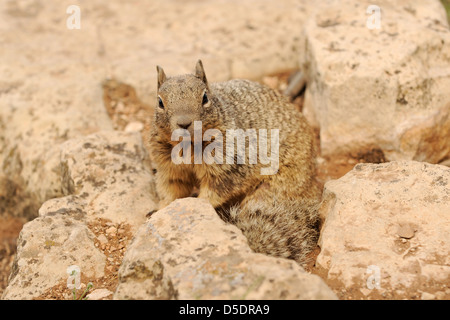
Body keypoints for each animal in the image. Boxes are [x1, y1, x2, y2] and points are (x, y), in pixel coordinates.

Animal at [149, 61, 322, 264]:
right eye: (160, 102)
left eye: (205, 97)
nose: (184, 123)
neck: (188, 145)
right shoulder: (168, 167)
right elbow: (171, 189)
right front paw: (160, 210)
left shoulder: (228, 165)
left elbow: (214, 191)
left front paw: (198, 204)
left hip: (272, 190)